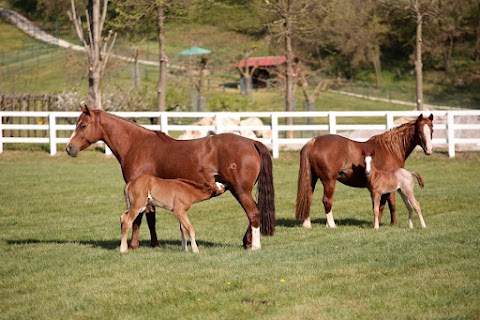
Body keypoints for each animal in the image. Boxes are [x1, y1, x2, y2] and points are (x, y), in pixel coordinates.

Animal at [66, 105, 276, 250]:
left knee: (253, 213)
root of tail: (252, 142)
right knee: (254, 213)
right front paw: (154, 243)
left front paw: (134, 245)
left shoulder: (140, 191)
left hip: (240, 190)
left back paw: (254, 246)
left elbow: (139, 218)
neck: (137, 145)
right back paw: (246, 241)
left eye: (83, 125)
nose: (69, 148)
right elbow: (150, 218)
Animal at [294, 114, 434, 229]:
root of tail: (314, 142)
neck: (390, 149)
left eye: (432, 130)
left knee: (308, 198)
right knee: (327, 200)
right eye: (420, 130)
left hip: (312, 179)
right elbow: (388, 204)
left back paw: (307, 224)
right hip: (329, 181)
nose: (429, 150)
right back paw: (332, 225)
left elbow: (382, 205)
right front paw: (388, 223)